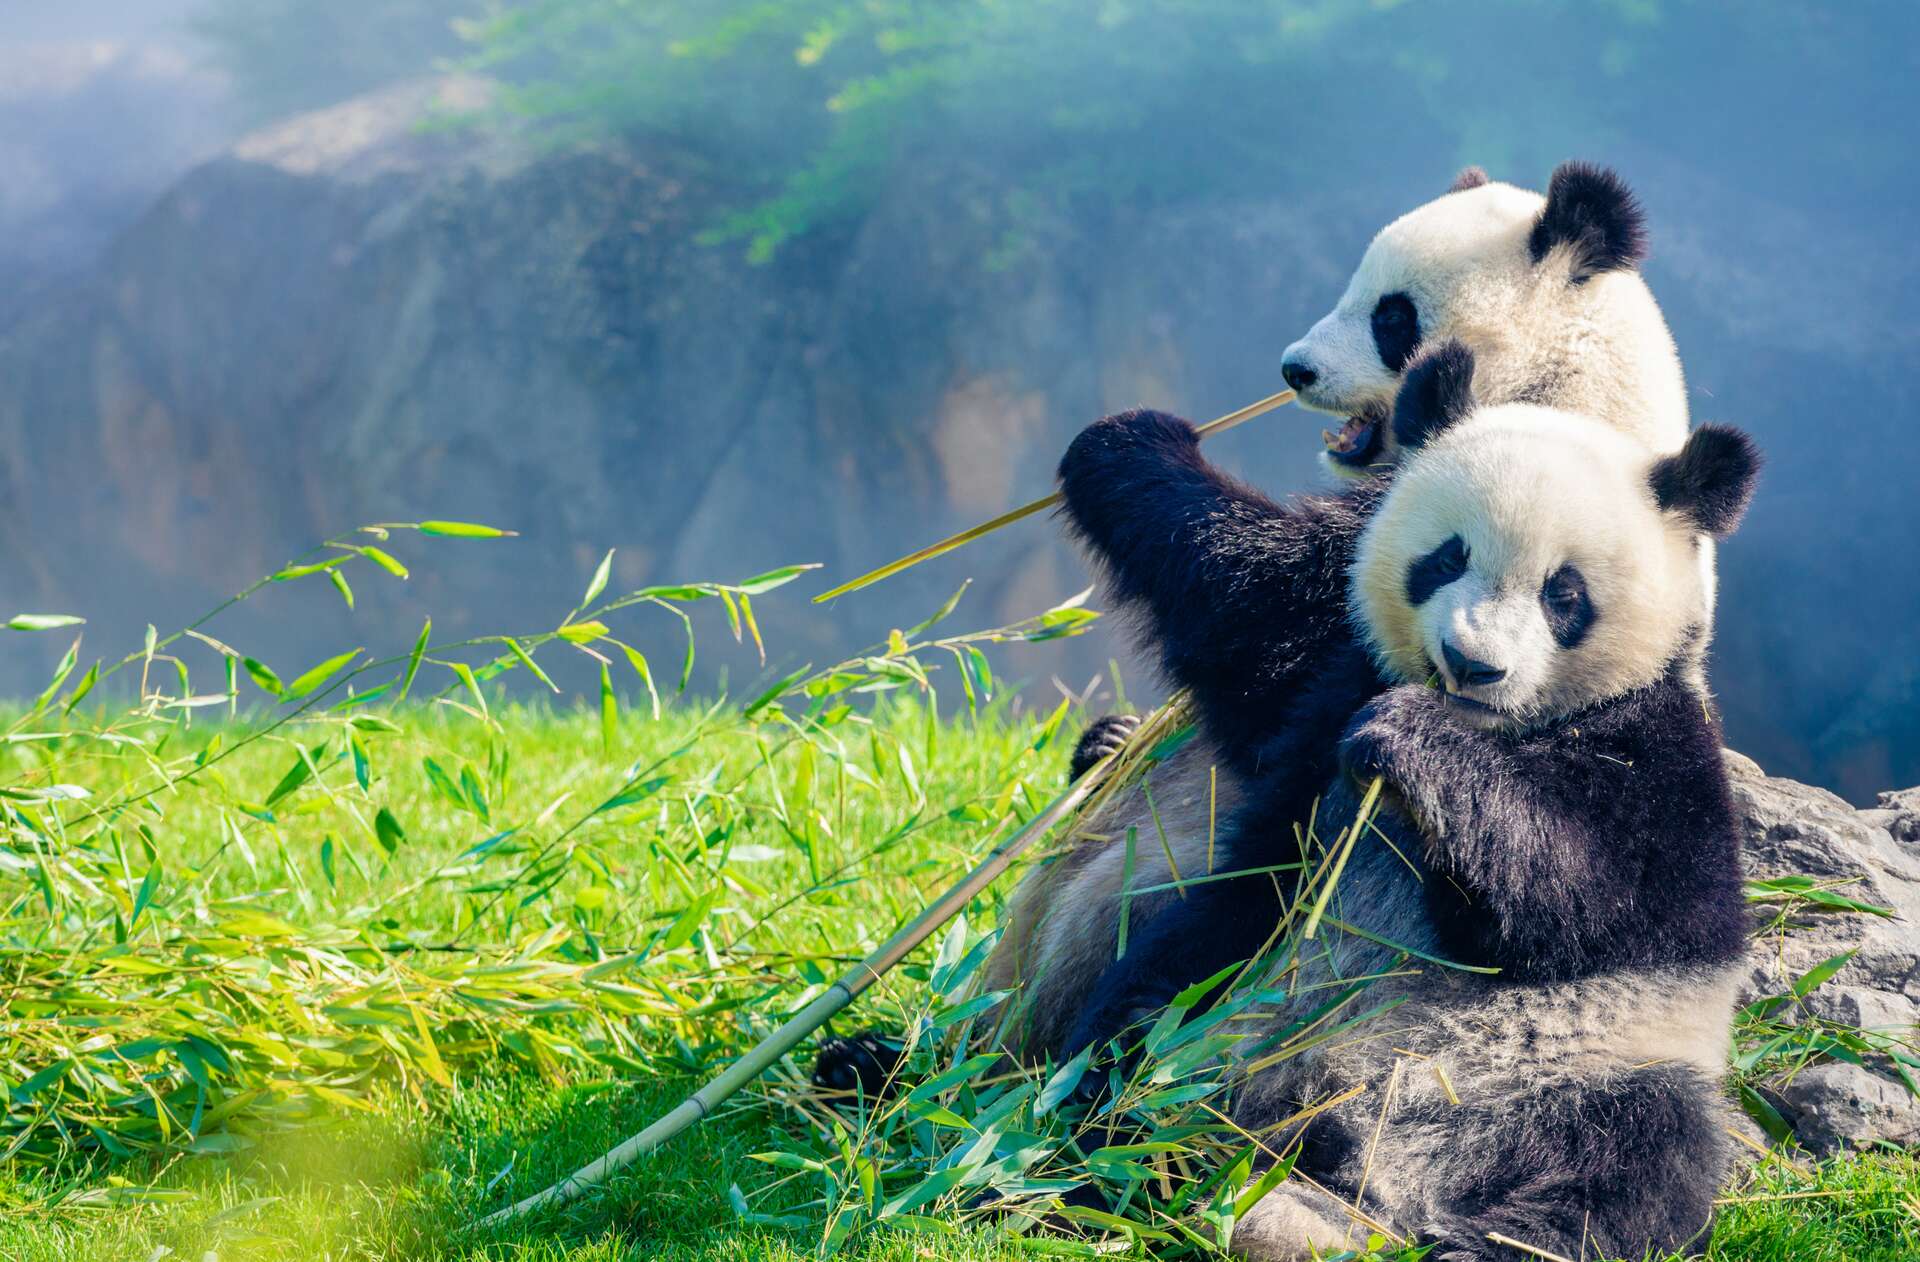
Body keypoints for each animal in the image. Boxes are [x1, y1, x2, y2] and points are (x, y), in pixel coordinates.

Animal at [1049, 348, 1760, 1261]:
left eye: (1563, 593)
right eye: (1445, 559)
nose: (1471, 663)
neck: (1493, 727)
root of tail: (1373, 1174)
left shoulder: (1661, 756)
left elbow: (1590, 898)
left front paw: (1408, 742)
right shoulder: (1330, 690)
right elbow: (1247, 628)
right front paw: (1133, 440)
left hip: (1601, 1064)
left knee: (1636, 1168)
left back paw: (1479, 1241)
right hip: (1234, 991)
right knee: (1140, 1028)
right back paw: (1107, 1154)